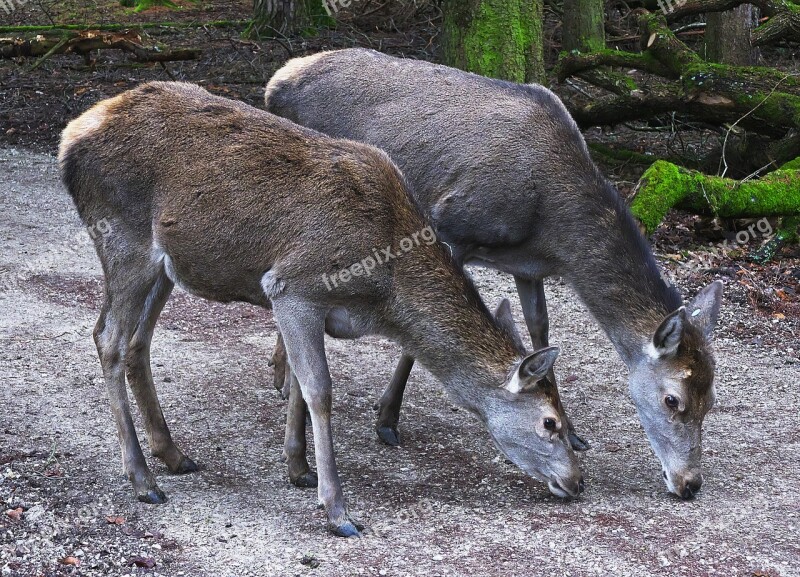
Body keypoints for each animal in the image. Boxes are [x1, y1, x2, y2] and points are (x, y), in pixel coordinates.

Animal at [57, 80, 580, 536]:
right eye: (550, 422)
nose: (576, 480)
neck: (383, 293)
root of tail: (71, 136)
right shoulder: (292, 286)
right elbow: (319, 390)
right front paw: (337, 510)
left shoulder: (310, 307)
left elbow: (296, 386)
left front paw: (298, 467)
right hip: (122, 238)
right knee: (108, 338)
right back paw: (143, 479)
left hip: (166, 266)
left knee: (138, 342)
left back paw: (173, 454)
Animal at [264, 49, 724, 500]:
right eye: (672, 399)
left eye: (712, 400)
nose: (690, 483)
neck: (551, 226)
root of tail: (276, 81)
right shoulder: (450, 227)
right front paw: (387, 419)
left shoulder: (527, 265)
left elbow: (539, 327)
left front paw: (574, 432)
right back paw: (286, 379)